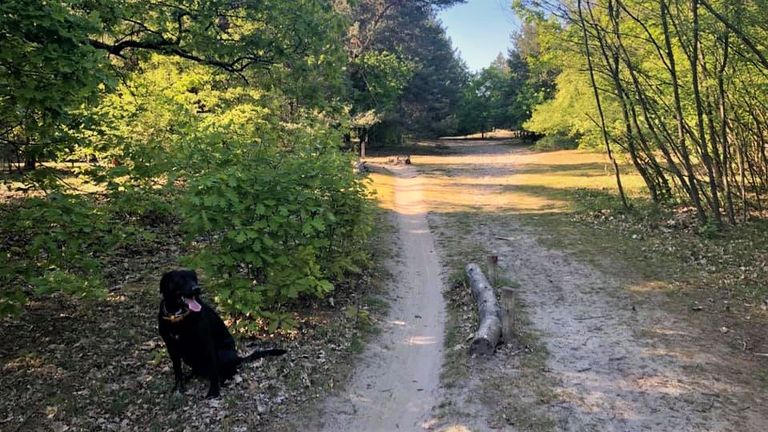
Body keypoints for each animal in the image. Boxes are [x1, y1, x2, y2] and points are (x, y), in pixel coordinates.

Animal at [158, 270, 286, 398]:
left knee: (229, 371)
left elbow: (213, 371)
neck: (177, 318)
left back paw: (224, 380)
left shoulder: (207, 345)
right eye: (180, 279)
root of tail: (237, 358)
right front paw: (178, 388)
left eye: (194, 279)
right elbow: (177, 370)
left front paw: (214, 391)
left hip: (222, 352)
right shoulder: (171, 347)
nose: (197, 288)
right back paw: (190, 375)